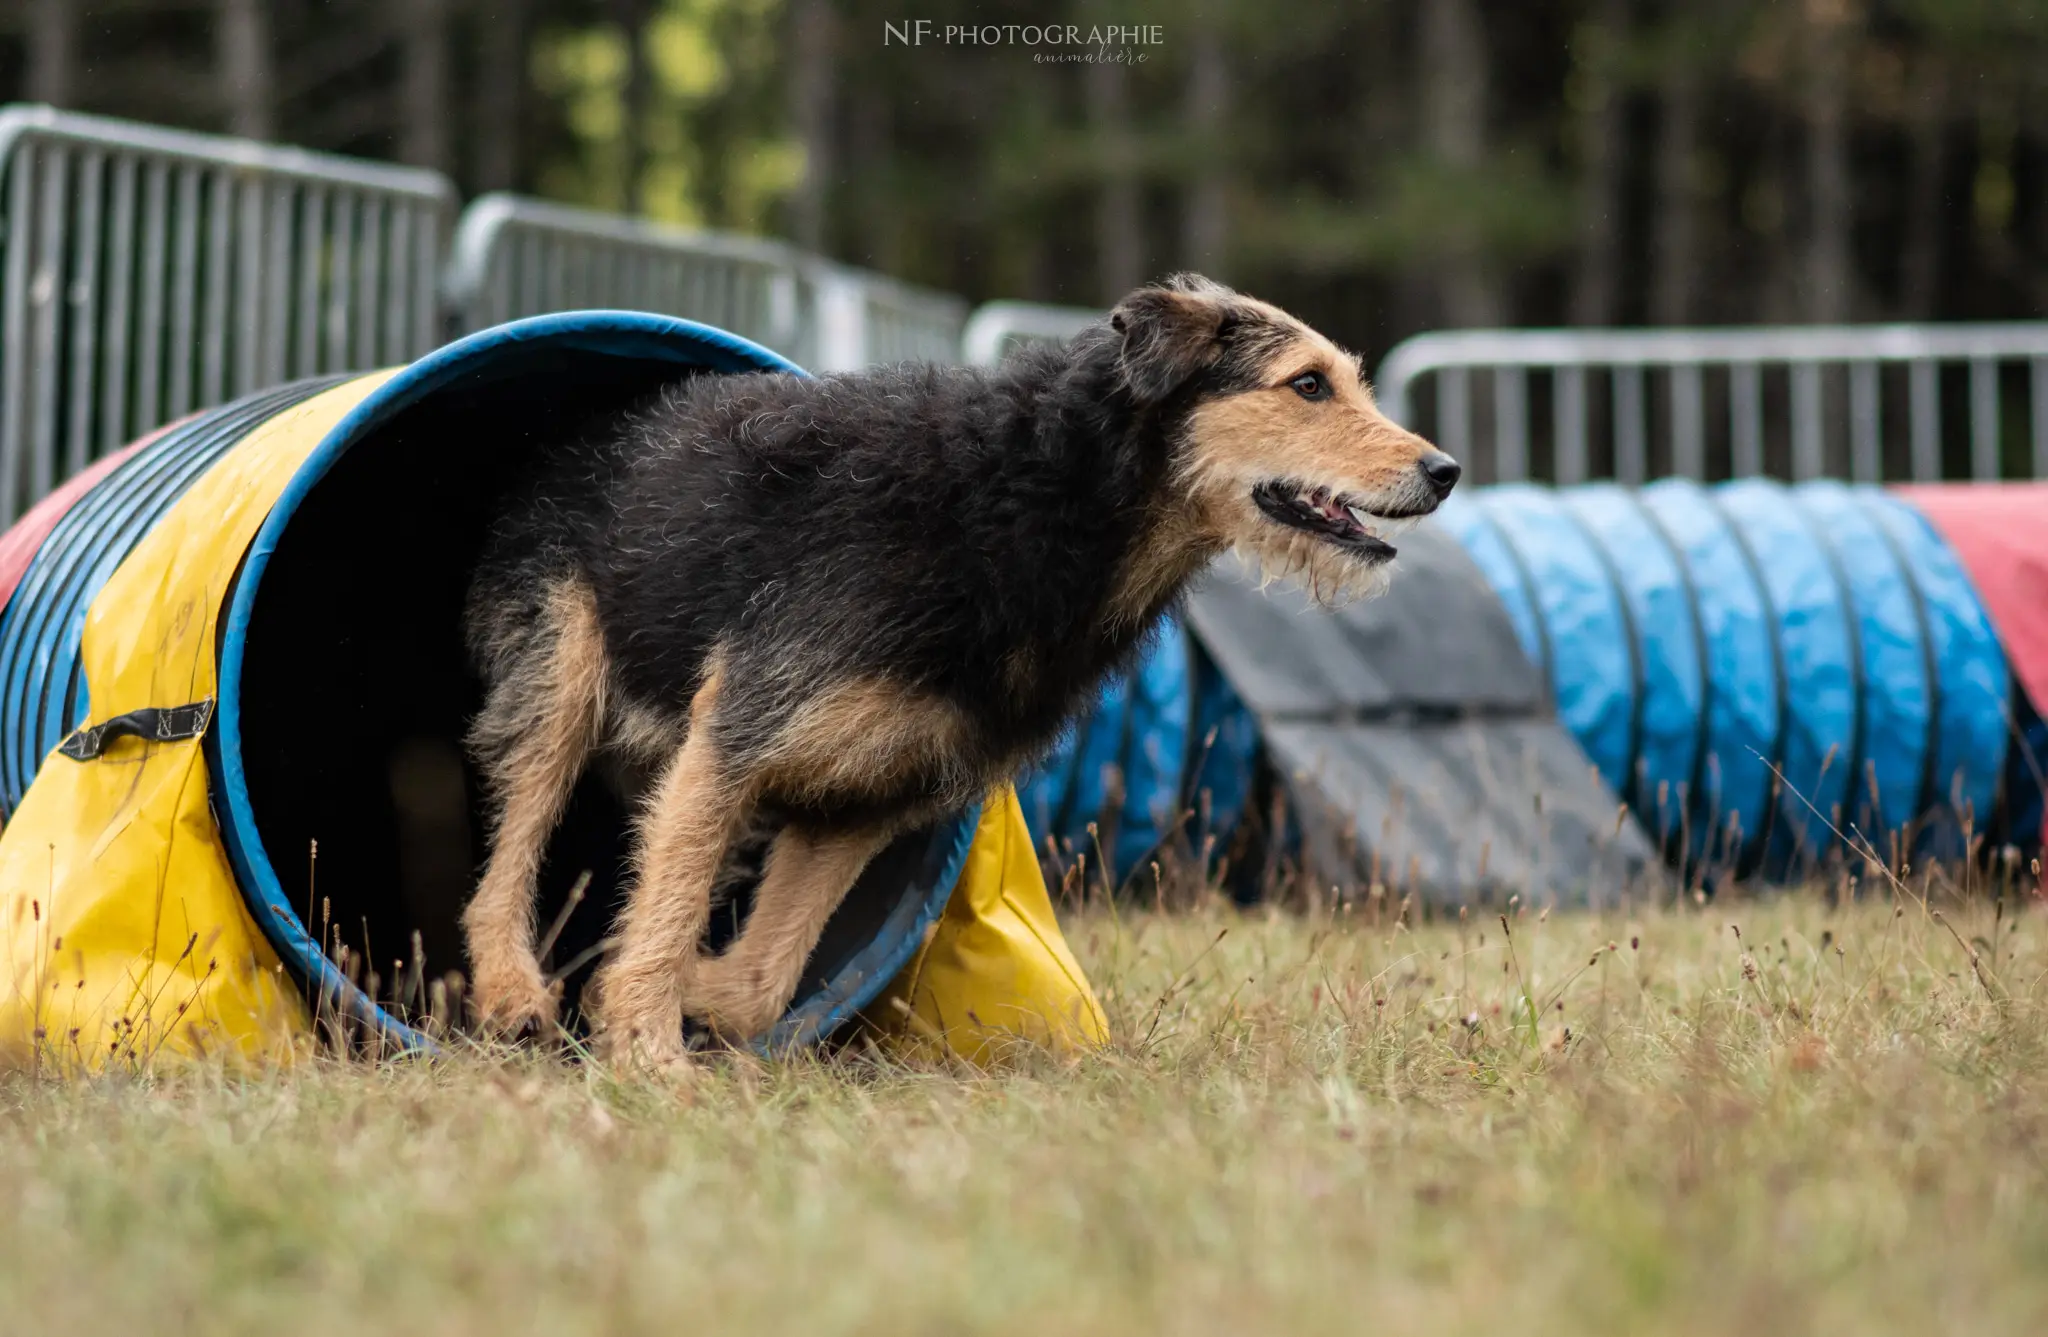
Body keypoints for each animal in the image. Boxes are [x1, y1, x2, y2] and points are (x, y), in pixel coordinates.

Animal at [460, 270, 1458, 1064]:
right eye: (1307, 385)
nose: (1444, 470)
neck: (1033, 494)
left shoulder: (862, 801)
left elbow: (761, 976)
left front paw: (662, 1001)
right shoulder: (734, 740)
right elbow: (666, 916)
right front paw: (649, 1055)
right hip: (558, 681)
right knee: (507, 857)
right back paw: (512, 991)